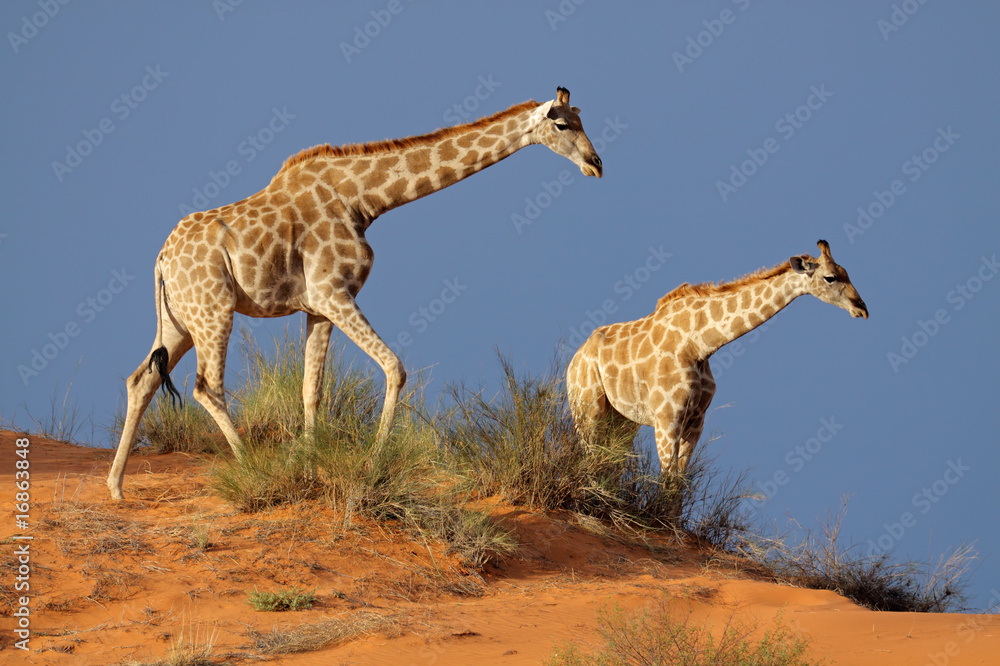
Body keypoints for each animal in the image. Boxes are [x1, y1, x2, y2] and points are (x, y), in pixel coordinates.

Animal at [108, 87, 603, 499]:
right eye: (562, 125)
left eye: (582, 119)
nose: (596, 164)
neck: (364, 200)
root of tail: (161, 260)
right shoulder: (333, 293)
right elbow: (395, 368)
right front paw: (374, 463)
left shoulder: (317, 307)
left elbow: (311, 389)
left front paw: (310, 468)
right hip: (214, 309)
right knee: (206, 387)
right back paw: (250, 470)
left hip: (179, 320)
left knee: (141, 379)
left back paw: (116, 487)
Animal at [566, 240, 868, 480]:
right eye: (830, 277)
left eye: (847, 273)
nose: (861, 308)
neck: (700, 345)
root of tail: (574, 360)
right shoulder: (666, 418)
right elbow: (668, 479)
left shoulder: (695, 421)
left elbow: (679, 485)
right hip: (588, 409)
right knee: (589, 457)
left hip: (623, 422)